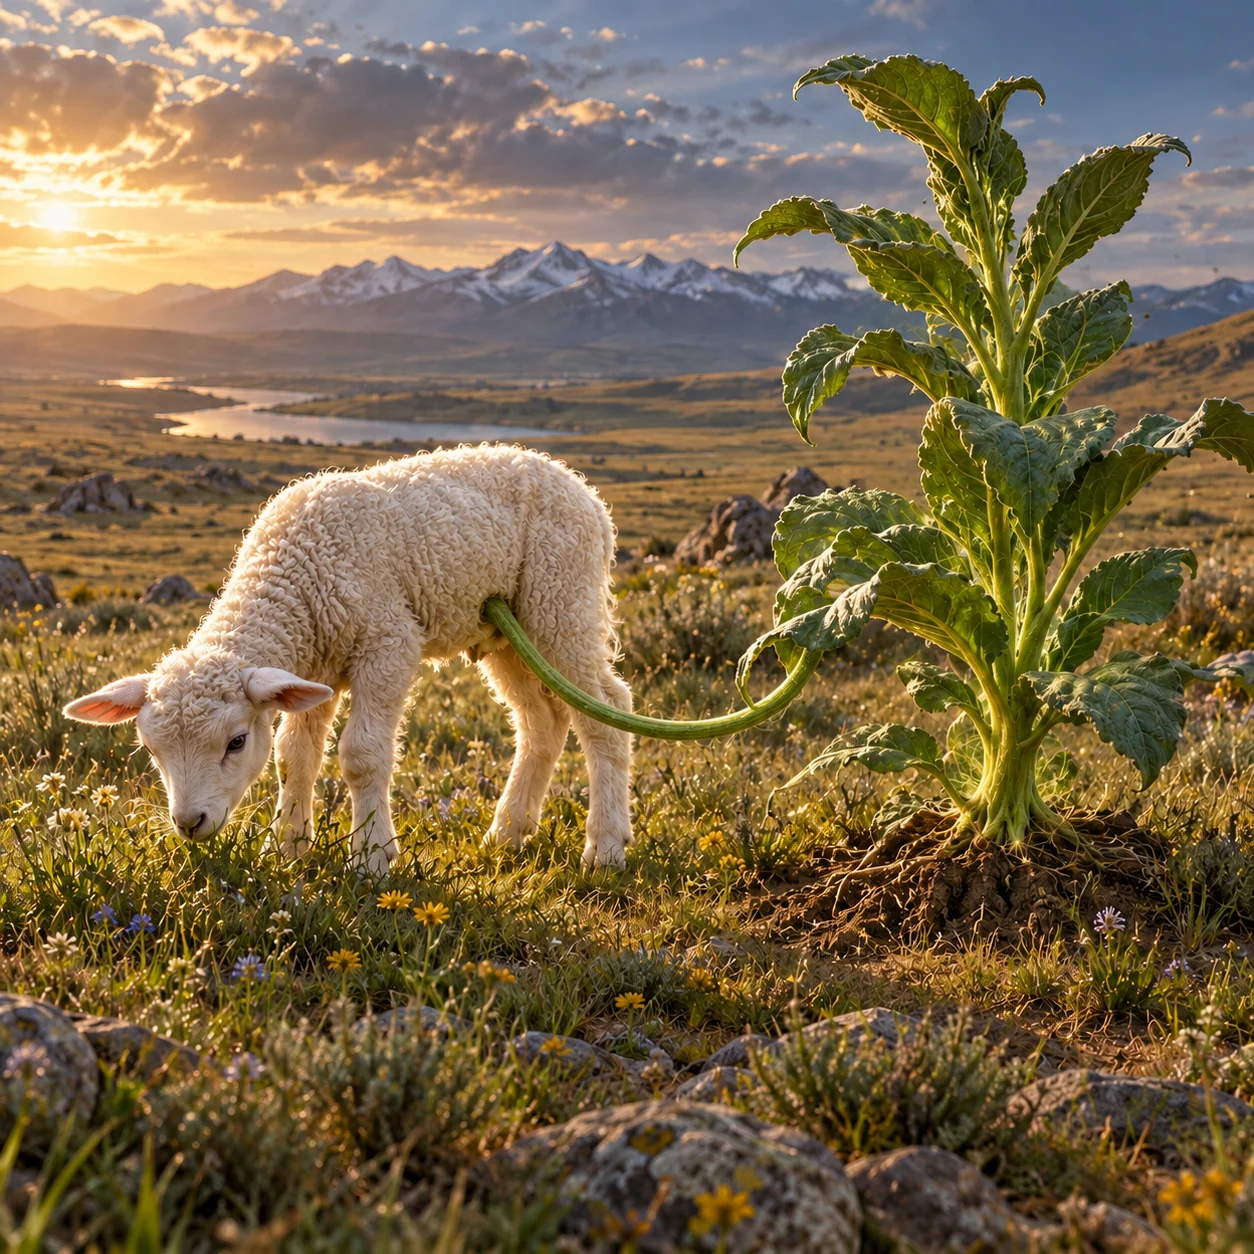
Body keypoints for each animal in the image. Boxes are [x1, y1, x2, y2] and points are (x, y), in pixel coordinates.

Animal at [63, 445, 634, 873]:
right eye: (150, 750)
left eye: (235, 742)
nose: (189, 824)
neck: (292, 572)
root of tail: (577, 484)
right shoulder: (312, 667)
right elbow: (293, 758)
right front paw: (288, 846)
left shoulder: (387, 640)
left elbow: (361, 756)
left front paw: (372, 857)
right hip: (504, 632)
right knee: (543, 723)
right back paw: (509, 831)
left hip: (561, 597)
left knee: (605, 711)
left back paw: (605, 846)